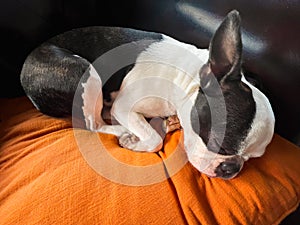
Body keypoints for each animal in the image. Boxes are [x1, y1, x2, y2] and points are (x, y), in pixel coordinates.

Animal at [20, 10, 274, 179]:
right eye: (221, 148)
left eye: (253, 158)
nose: (232, 169)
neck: (187, 78)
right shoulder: (124, 106)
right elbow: (154, 140)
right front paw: (134, 142)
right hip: (85, 72)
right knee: (94, 123)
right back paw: (123, 131)